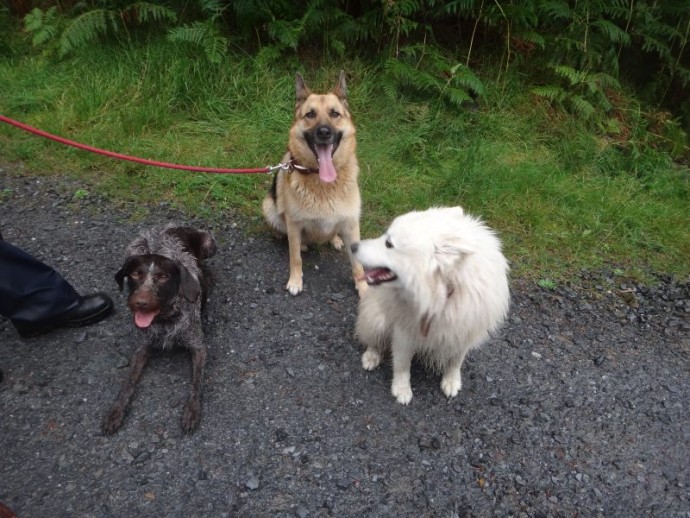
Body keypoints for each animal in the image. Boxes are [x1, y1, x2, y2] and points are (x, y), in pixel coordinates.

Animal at [101, 225, 215, 436]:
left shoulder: (198, 347)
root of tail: (172, 227)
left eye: (163, 277)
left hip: (209, 243)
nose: (139, 303)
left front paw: (192, 410)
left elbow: (197, 382)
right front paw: (116, 411)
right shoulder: (142, 348)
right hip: (132, 247)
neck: (165, 320)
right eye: (135, 275)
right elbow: (128, 381)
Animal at [260, 70, 366, 296]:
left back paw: (335, 239)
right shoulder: (294, 224)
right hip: (269, 208)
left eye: (334, 114)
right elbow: (295, 258)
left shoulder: (352, 225)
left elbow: (357, 264)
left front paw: (363, 287)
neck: (323, 182)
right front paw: (295, 281)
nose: (324, 132)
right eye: (310, 114)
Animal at [352, 207, 508, 406]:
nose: (353, 246)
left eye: (388, 244)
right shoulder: (404, 332)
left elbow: (456, 361)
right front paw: (402, 390)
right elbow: (402, 364)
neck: (441, 297)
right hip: (377, 319)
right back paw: (371, 356)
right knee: (373, 340)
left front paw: (451, 381)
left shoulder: (464, 331)